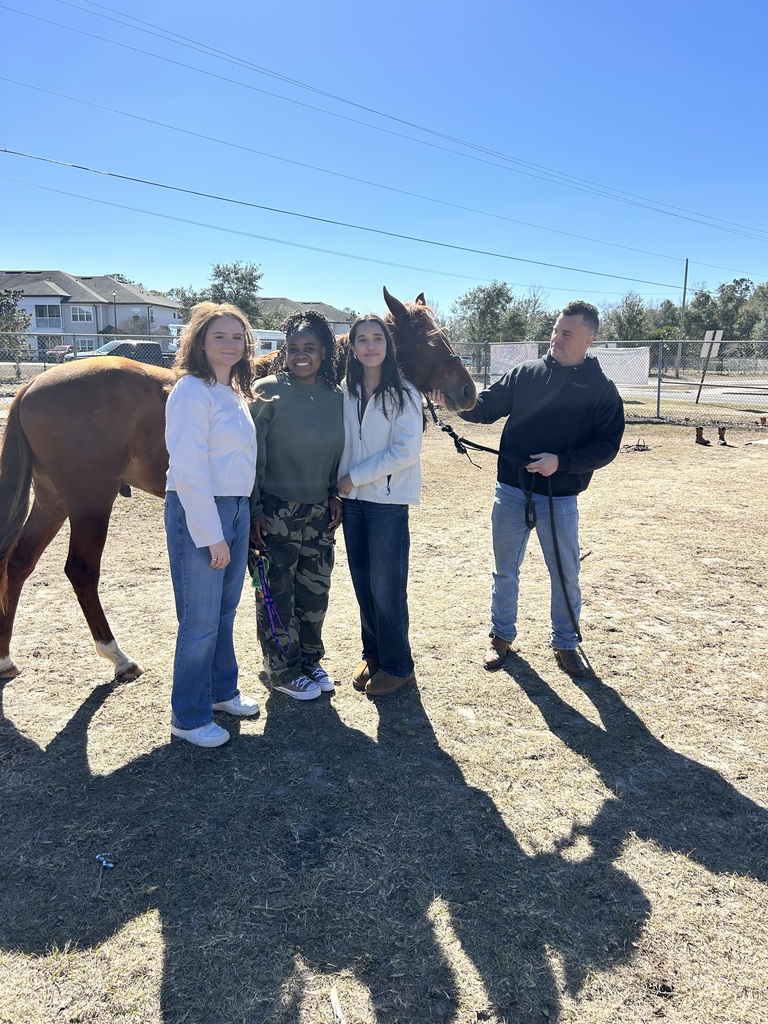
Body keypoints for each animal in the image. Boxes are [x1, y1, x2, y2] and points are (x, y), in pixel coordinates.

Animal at [0, 287, 475, 683]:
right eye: (431, 341)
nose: (469, 392)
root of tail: (31, 384)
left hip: (53, 500)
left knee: (18, 562)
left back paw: (6, 658)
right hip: (89, 502)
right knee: (80, 570)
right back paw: (117, 657)